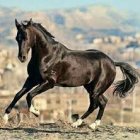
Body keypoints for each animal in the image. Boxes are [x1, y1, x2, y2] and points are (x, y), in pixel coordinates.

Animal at [3, 19, 139, 130]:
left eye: (26, 36)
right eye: (17, 38)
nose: (22, 57)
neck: (47, 55)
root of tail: (112, 62)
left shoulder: (49, 83)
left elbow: (29, 95)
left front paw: (36, 111)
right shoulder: (32, 79)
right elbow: (18, 95)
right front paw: (5, 117)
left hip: (96, 89)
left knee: (94, 104)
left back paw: (76, 123)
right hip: (91, 88)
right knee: (103, 102)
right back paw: (93, 125)